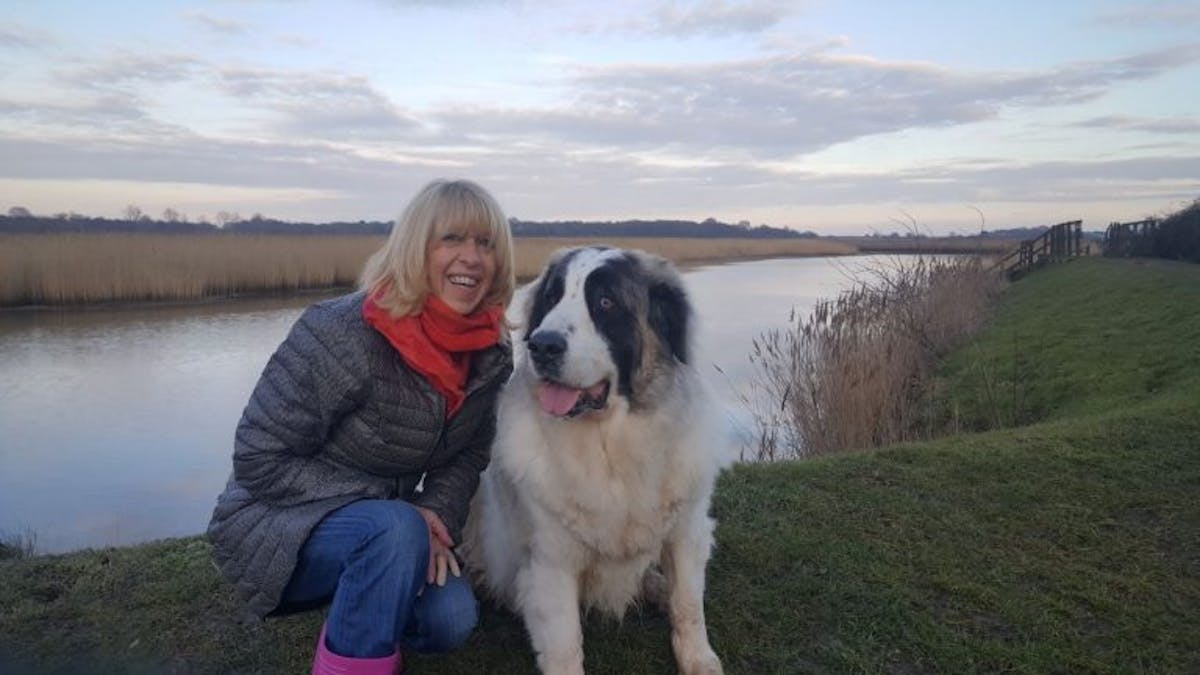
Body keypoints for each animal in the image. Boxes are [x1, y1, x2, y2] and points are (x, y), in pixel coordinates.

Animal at [458, 247, 724, 672]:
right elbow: (565, 646)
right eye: (551, 297)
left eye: (605, 303)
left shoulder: (687, 531)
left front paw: (698, 660)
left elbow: (687, 604)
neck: (613, 445)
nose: (542, 345)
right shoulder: (551, 562)